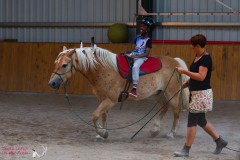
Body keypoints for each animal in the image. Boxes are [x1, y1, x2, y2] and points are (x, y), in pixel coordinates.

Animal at [47, 44, 188, 139]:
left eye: (64, 65)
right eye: (55, 63)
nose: (52, 83)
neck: (104, 70)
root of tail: (175, 62)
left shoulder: (110, 100)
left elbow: (95, 115)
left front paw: (102, 133)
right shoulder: (102, 99)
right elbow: (103, 115)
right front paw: (103, 133)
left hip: (171, 93)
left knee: (176, 111)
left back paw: (171, 133)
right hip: (158, 93)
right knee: (164, 107)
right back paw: (155, 130)